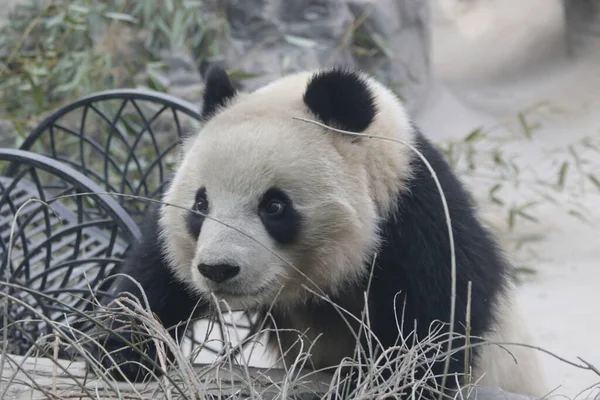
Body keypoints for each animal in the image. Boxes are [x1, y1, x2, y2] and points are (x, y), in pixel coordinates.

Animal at [95, 67, 548, 398]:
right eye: (201, 204)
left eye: (274, 206)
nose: (218, 270)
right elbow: (155, 277)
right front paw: (125, 351)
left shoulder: (415, 217)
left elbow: (438, 317)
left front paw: (383, 379)